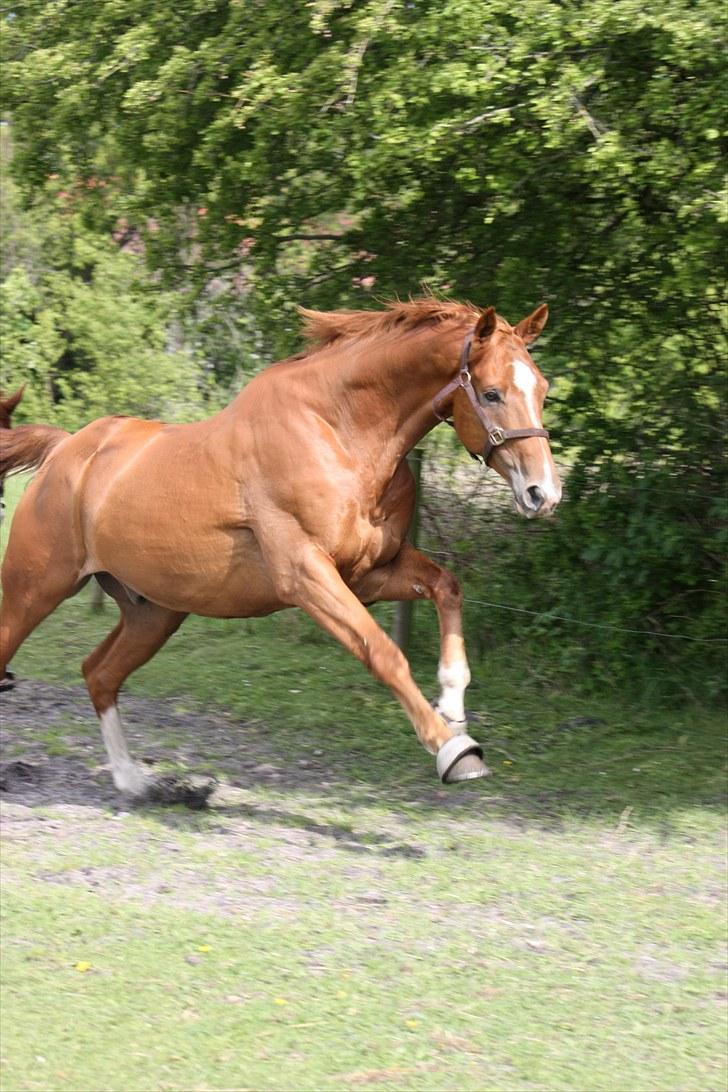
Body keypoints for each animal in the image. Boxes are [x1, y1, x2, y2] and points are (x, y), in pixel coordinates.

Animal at [0, 301, 563, 803]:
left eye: (542, 390)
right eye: (491, 393)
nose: (543, 493)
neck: (340, 433)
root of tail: (65, 449)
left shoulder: (372, 572)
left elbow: (448, 589)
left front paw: (454, 708)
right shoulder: (306, 575)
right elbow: (383, 652)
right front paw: (454, 751)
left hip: (154, 612)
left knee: (99, 674)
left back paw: (135, 783)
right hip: (35, 590)